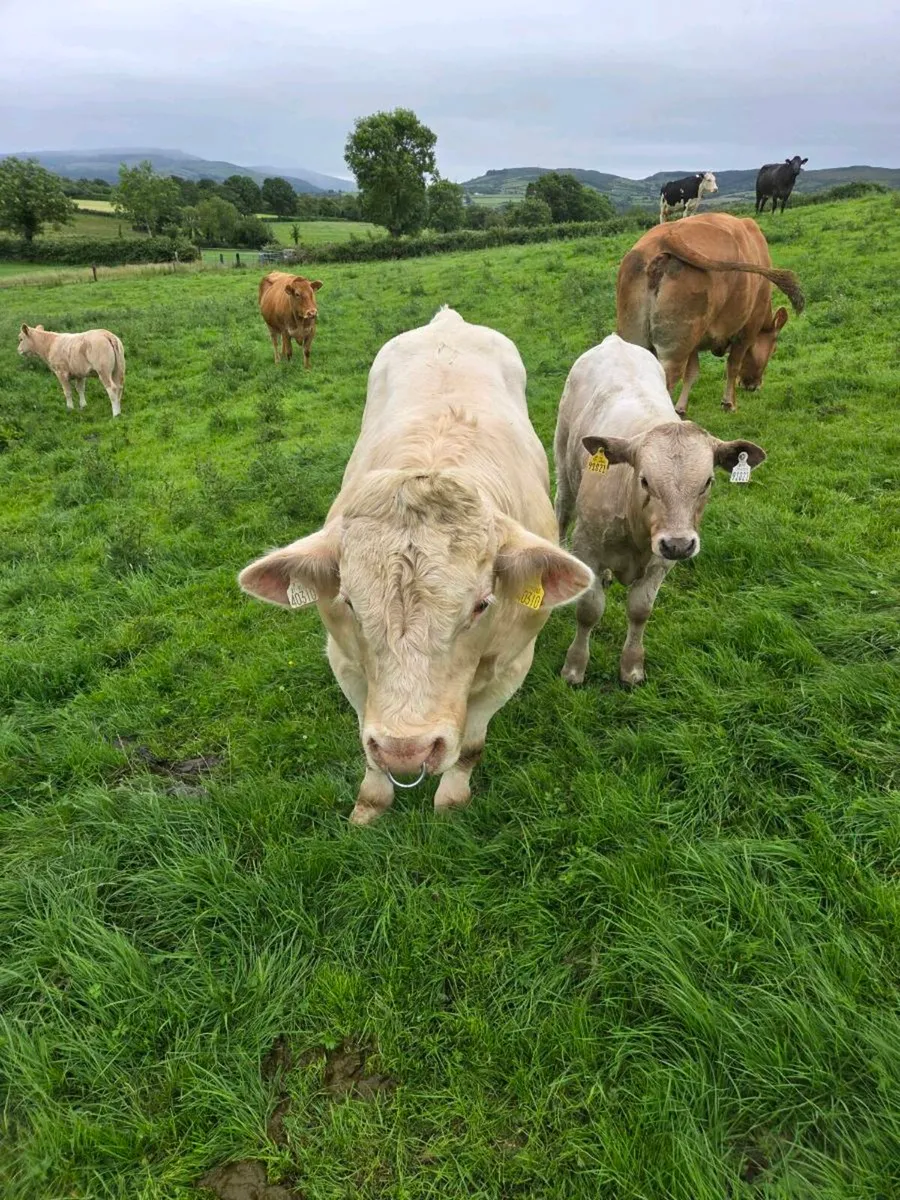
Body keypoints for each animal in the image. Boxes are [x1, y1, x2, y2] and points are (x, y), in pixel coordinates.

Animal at [238, 307, 593, 825]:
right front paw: (369, 805)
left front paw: (451, 803)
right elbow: (368, 752)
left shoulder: (512, 664)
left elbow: (471, 747)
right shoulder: (343, 659)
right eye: (349, 602)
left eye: (482, 605)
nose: (406, 749)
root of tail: (448, 320)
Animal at [554, 334, 766, 686]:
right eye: (645, 480)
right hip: (564, 467)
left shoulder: (660, 562)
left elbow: (640, 610)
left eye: (707, 482)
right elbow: (589, 610)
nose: (678, 544)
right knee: (561, 513)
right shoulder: (587, 546)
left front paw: (631, 668)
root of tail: (615, 340)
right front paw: (574, 667)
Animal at [616, 212, 804, 416]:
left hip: (638, 337)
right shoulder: (748, 328)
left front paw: (681, 408)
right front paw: (729, 403)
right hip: (673, 351)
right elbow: (733, 365)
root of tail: (666, 236)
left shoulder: (695, 341)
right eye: (774, 349)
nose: (753, 385)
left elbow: (692, 372)